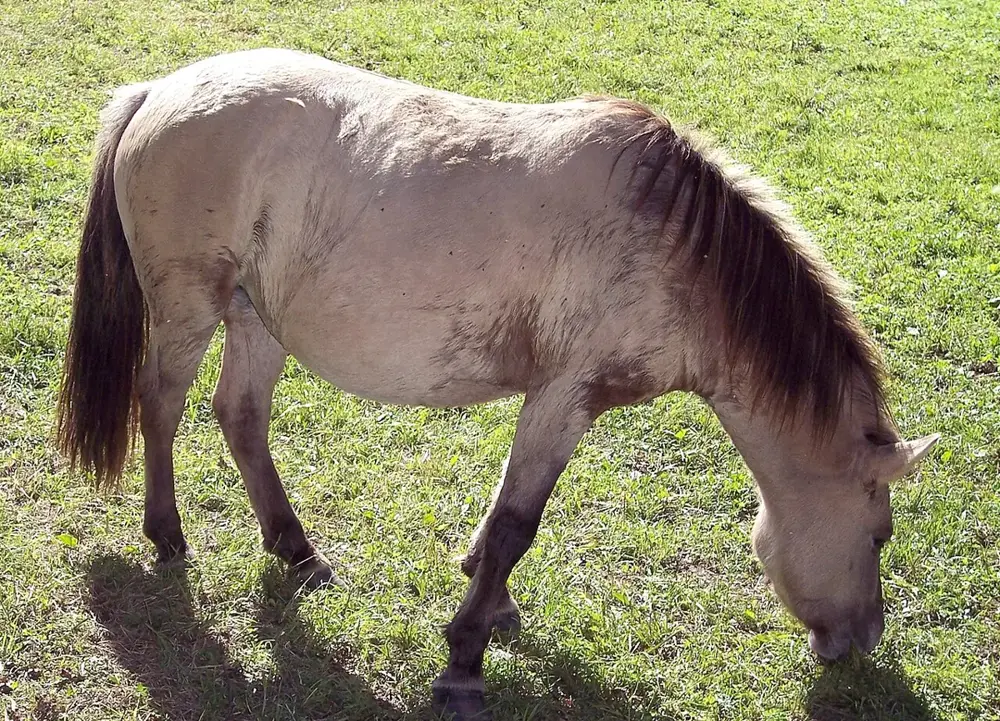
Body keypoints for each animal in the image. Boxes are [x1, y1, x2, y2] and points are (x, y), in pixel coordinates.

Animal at [56, 48, 938, 720]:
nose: (862, 640)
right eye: (880, 535)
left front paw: (489, 598)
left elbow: (502, 516)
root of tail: (158, 90)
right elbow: (519, 523)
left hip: (255, 317)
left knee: (239, 417)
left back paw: (298, 550)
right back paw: (168, 535)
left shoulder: (551, 400)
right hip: (190, 307)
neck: (673, 248)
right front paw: (465, 659)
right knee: (161, 405)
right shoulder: (567, 396)